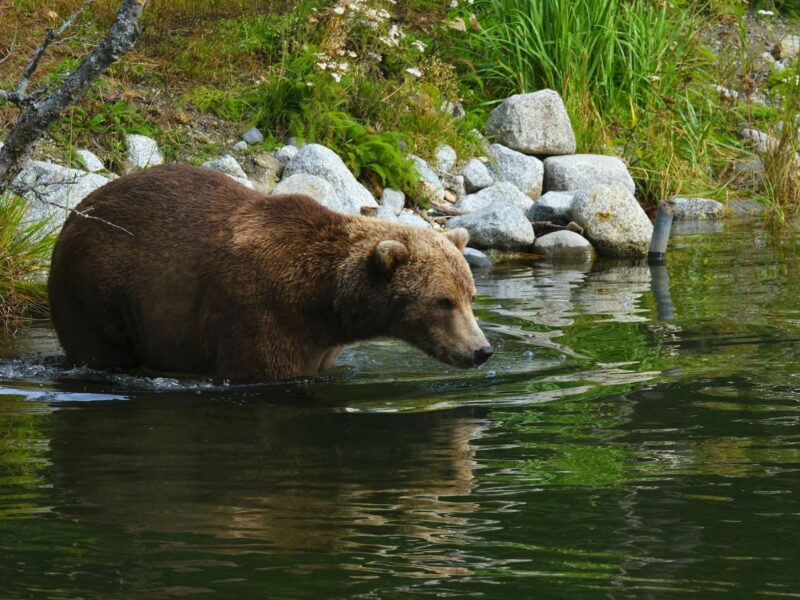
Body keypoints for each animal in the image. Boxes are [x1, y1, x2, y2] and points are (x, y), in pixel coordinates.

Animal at [48, 164, 493, 382]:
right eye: (442, 302)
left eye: (470, 297)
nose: (481, 350)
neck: (324, 301)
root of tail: (75, 214)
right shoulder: (265, 316)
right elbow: (262, 368)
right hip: (97, 290)